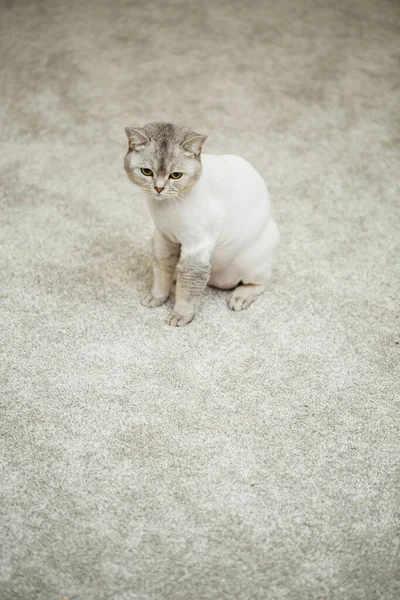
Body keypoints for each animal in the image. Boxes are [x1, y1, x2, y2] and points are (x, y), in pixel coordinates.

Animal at [124, 123, 278, 328]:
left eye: (175, 175)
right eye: (147, 172)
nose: (159, 188)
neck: (166, 207)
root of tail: (219, 281)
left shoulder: (196, 249)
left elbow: (188, 290)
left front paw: (180, 314)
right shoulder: (163, 238)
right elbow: (161, 273)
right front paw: (157, 296)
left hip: (251, 261)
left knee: (261, 282)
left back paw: (240, 297)